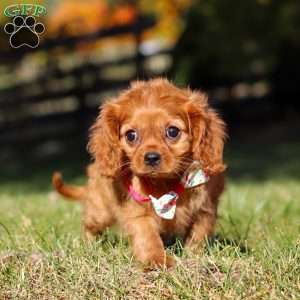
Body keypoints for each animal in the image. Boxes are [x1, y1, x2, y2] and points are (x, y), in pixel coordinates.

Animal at [52, 77, 226, 268]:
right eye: (131, 135)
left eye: (172, 132)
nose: (151, 157)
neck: (165, 183)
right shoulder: (138, 213)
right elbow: (148, 237)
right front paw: (157, 260)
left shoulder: (205, 208)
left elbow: (198, 235)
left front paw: (194, 258)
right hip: (100, 211)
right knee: (89, 225)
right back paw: (88, 246)